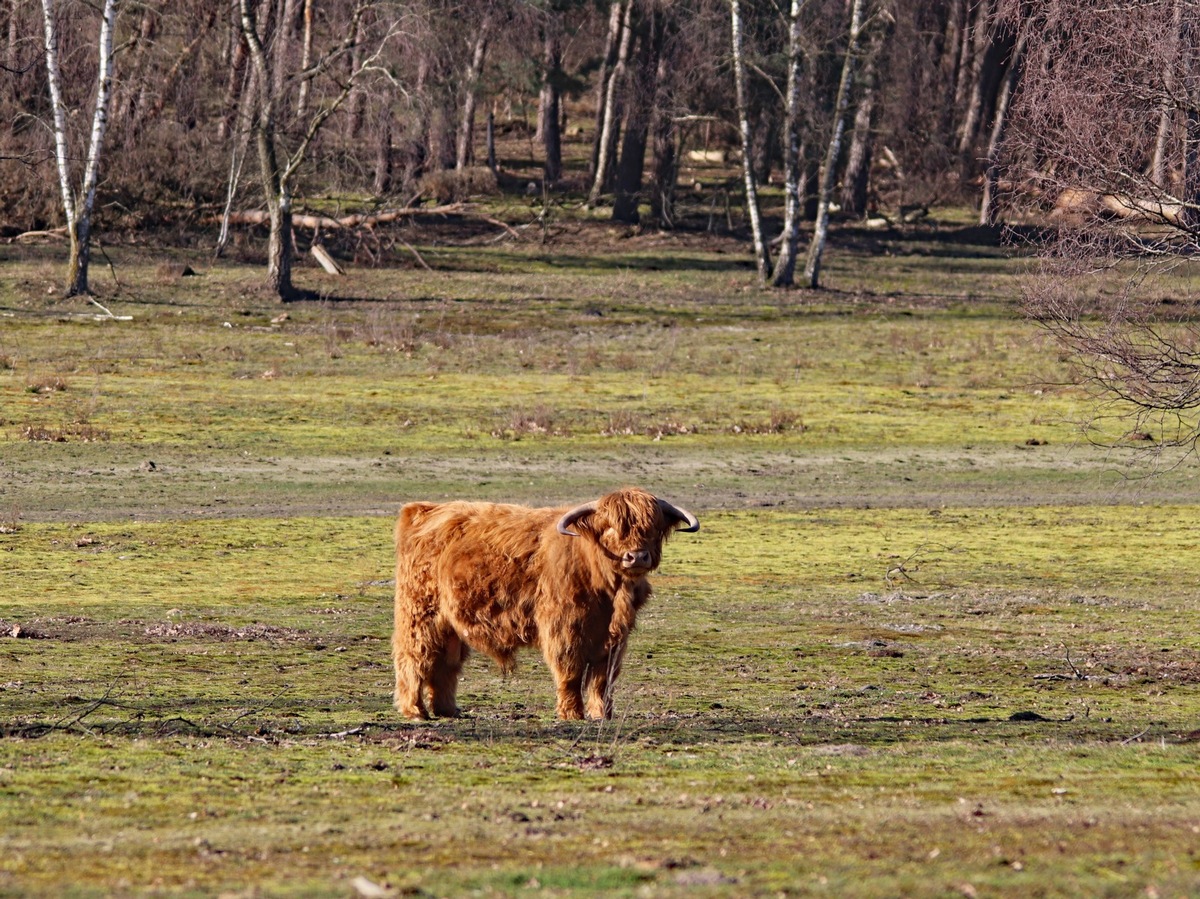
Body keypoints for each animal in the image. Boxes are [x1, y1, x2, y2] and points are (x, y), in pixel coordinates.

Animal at [388, 487, 700, 720]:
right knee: (413, 656)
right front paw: (572, 713)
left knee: (445, 664)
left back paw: (448, 710)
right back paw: (414, 711)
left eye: (653, 527)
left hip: (450, 626)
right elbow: (570, 673)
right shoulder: (564, 628)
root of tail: (423, 510)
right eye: (610, 527)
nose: (637, 556)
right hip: (420, 613)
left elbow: (603, 679)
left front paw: (603, 715)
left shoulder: (615, 638)